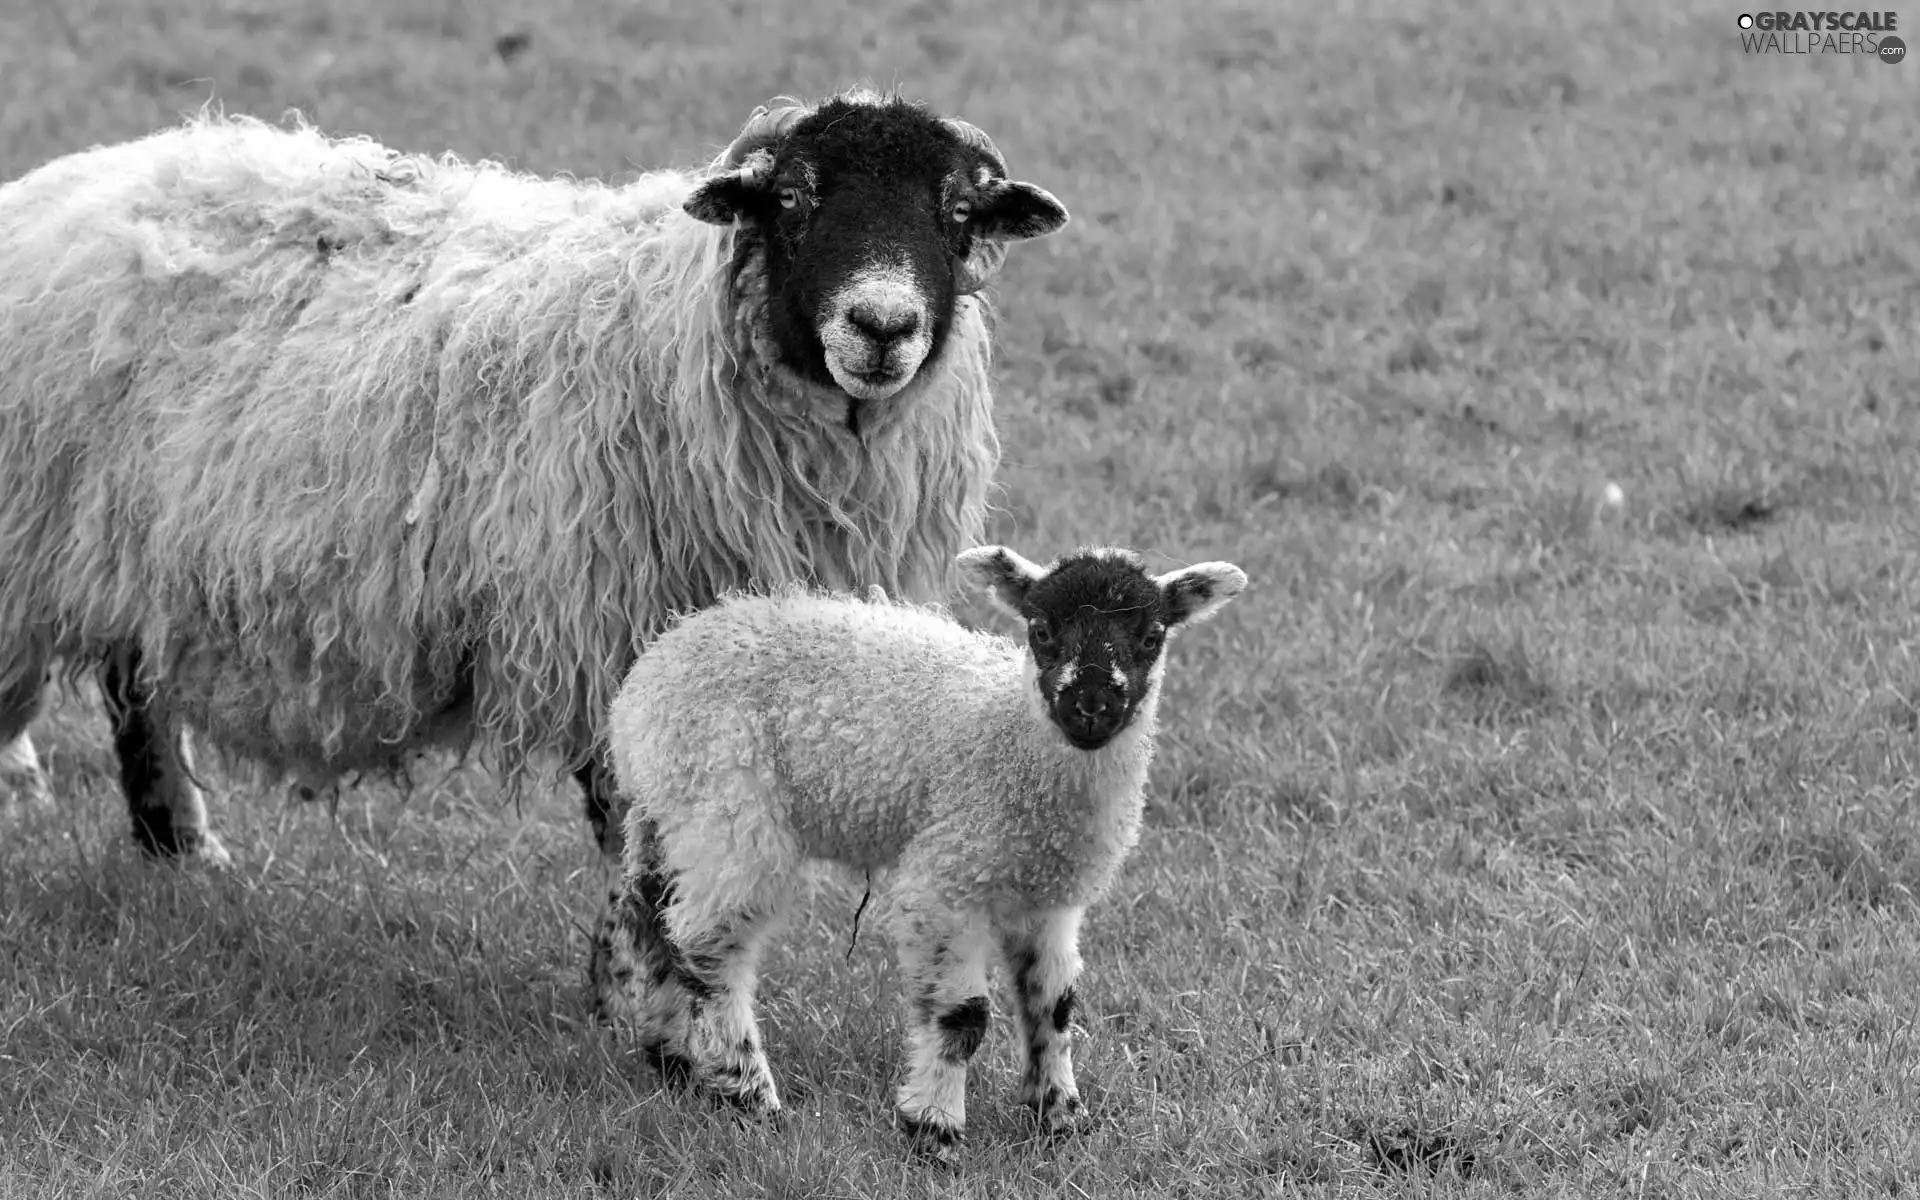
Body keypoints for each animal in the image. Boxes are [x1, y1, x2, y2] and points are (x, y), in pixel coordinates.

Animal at [0, 88, 1067, 864]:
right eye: (796, 200)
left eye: (957, 212)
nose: (882, 326)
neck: (662, 328)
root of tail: (73, 179)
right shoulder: (612, 627)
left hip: (126, 543)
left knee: (132, 682)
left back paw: (177, 846)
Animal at [591, 545, 1251, 1159]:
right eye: (1041, 631)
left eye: (1151, 636)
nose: (1090, 707)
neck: (1013, 742)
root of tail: (654, 665)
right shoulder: (948, 878)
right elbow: (963, 1018)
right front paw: (933, 1130)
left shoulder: (1048, 899)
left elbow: (1054, 1005)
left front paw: (1060, 1119)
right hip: (728, 811)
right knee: (709, 944)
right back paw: (750, 1096)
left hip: (667, 813)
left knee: (652, 919)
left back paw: (674, 1060)